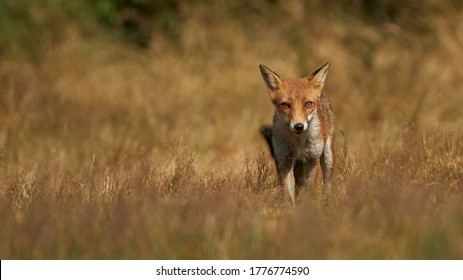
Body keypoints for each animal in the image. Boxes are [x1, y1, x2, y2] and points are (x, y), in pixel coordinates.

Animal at [260, 62, 336, 205]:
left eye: (308, 104)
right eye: (285, 105)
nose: (299, 126)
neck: (298, 142)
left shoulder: (313, 158)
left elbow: (310, 190)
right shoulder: (284, 159)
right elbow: (289, 192)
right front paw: (291, 209)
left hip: (328, 157)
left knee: (327, 184)